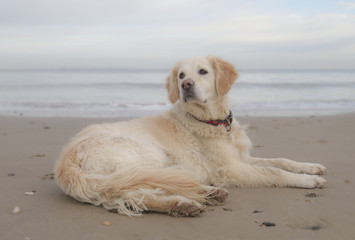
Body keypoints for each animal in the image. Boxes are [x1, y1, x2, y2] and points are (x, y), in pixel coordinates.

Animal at [54, 55, 326, 217]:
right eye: (181, 76)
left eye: (203, 72)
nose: (186, 86)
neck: (212, 121)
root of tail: (66, 164)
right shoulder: (229, 169)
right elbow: (274, 172)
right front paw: (308, 181)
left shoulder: (242, 158)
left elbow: (280, 160)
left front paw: (311, 167)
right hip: (146, 157)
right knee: (142, 189)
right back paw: (186, 201)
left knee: (137, 193)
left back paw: (197, 197)